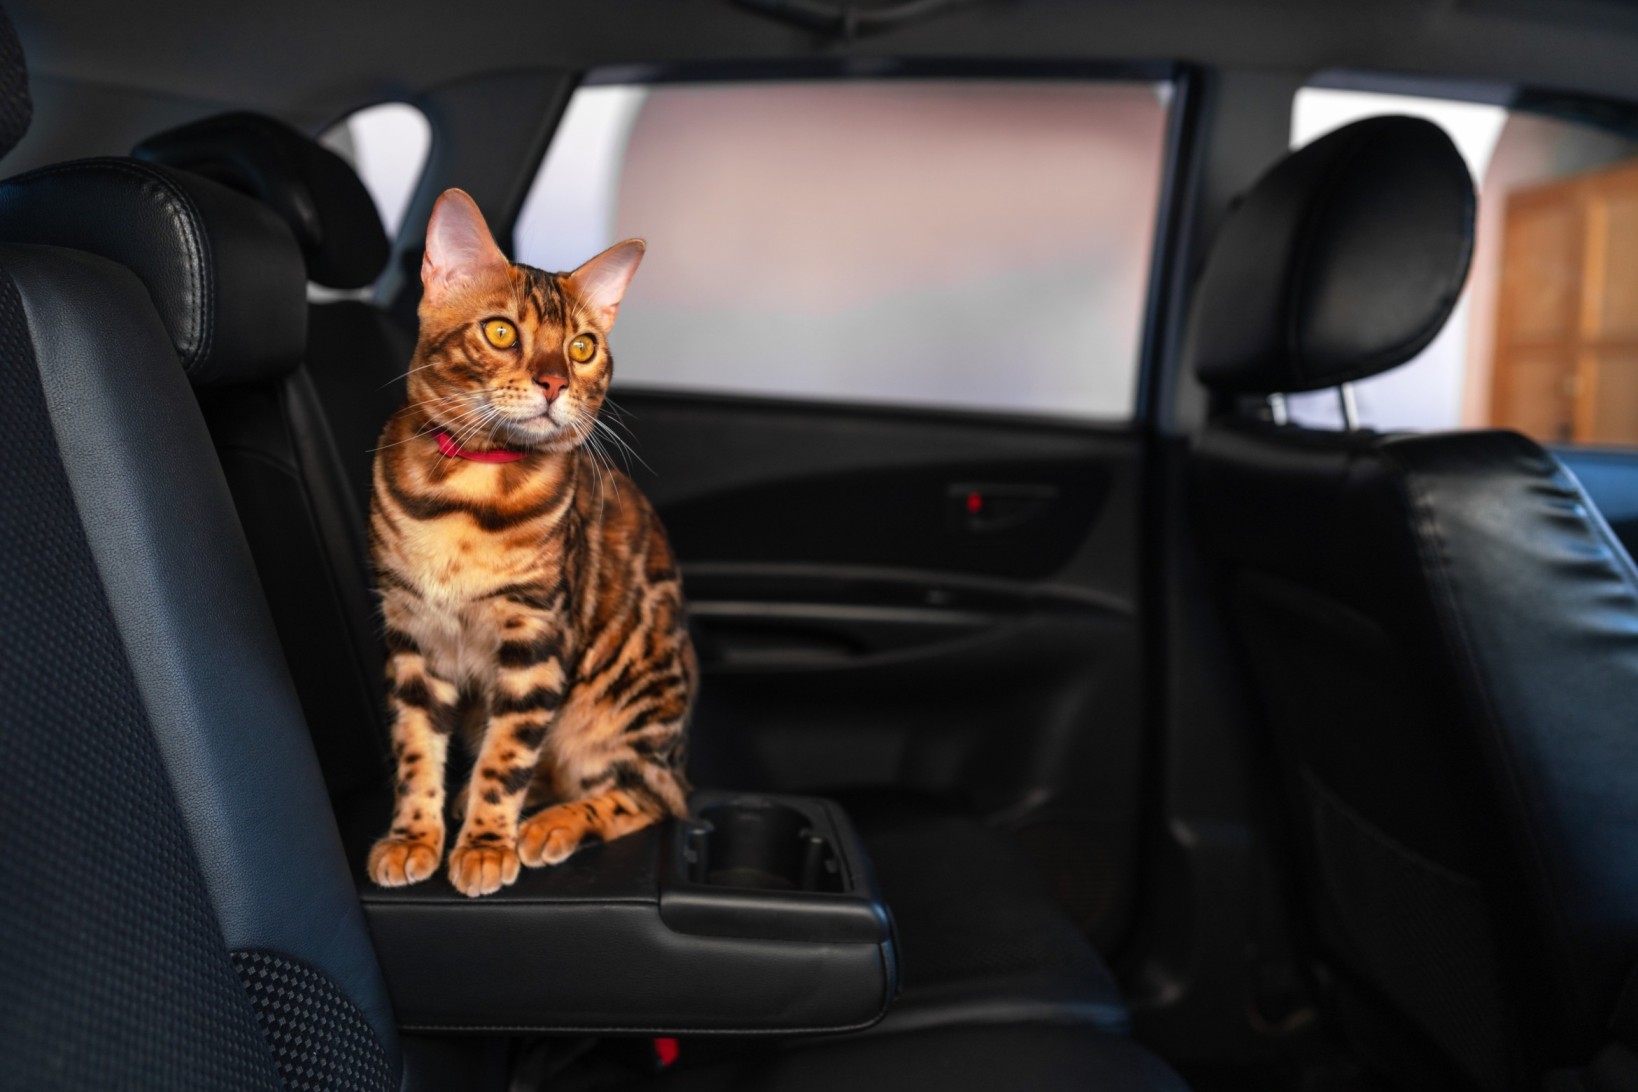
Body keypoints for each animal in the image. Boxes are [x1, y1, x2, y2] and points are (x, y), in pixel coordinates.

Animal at [368, 188, 694, 897]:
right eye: (500, 332)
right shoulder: (412, 636)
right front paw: (414, 836)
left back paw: (551, 824)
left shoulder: (538, 639)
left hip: (620, 698)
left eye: (581, 347)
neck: (467, 495)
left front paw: (488, 844)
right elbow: (414, 747)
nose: (554, 382)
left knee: (651, 796)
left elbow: (507, 755)